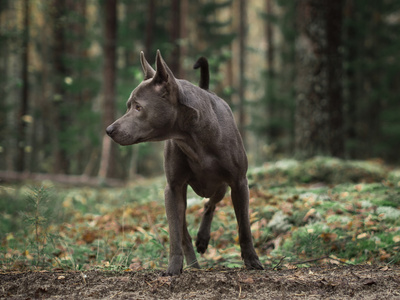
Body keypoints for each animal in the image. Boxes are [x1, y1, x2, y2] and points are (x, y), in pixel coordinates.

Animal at [105, 51, 262, 274]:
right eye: (129, 106)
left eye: (138, 107)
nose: (109, 130)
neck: (192, 137)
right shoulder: (173, 189)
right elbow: (175, 233)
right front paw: (174, 266)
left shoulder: (239, 183)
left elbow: (244, 226)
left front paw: (252, 260)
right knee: (186, 229)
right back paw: (194, 263)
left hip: (222, 187)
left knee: (210, 204)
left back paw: (203, 239)